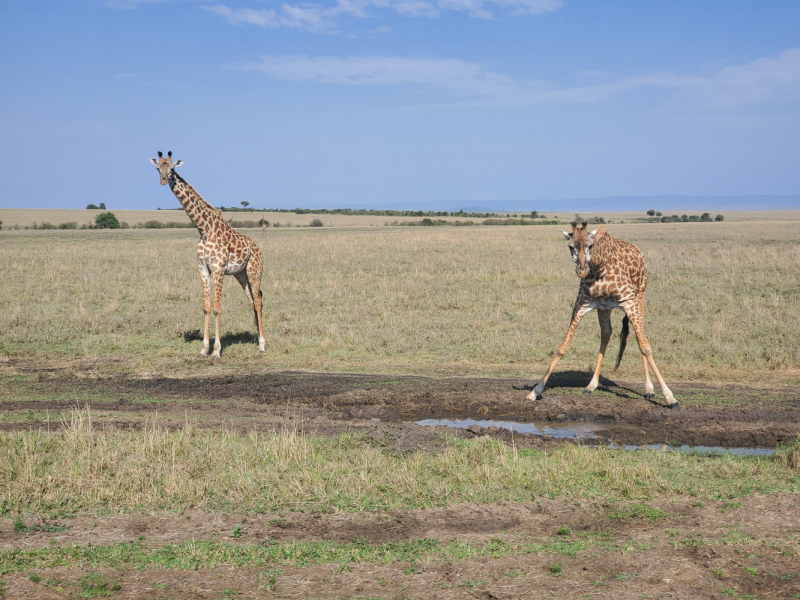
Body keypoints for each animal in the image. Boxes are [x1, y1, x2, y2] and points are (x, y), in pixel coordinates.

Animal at [147, 151, 266, 356]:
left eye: (172, 169)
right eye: (157, 168)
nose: (163, 180)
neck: (204, 229)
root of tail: (258, 249)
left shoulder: (218, 269)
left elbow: (217, 308)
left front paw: (216, 351)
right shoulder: (203, 268)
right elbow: (206, 307)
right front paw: (204, 348)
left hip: (254, 271)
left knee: (258, 300)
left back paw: (262, 344)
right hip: (241, 274)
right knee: (252, 300)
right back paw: (256, 338)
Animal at [528, 223, 680, 410]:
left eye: (590, 246)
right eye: (570, 246)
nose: (582, 271)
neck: (599, 268)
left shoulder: (628, 301)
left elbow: (645, 346)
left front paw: (670, 397)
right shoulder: (582, 303)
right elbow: (562, 347)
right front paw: (535, 391)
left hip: (640, 296)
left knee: (640, 335)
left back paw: (649, 390)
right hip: (604, 308)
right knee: (606, 334)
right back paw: (591, 385)